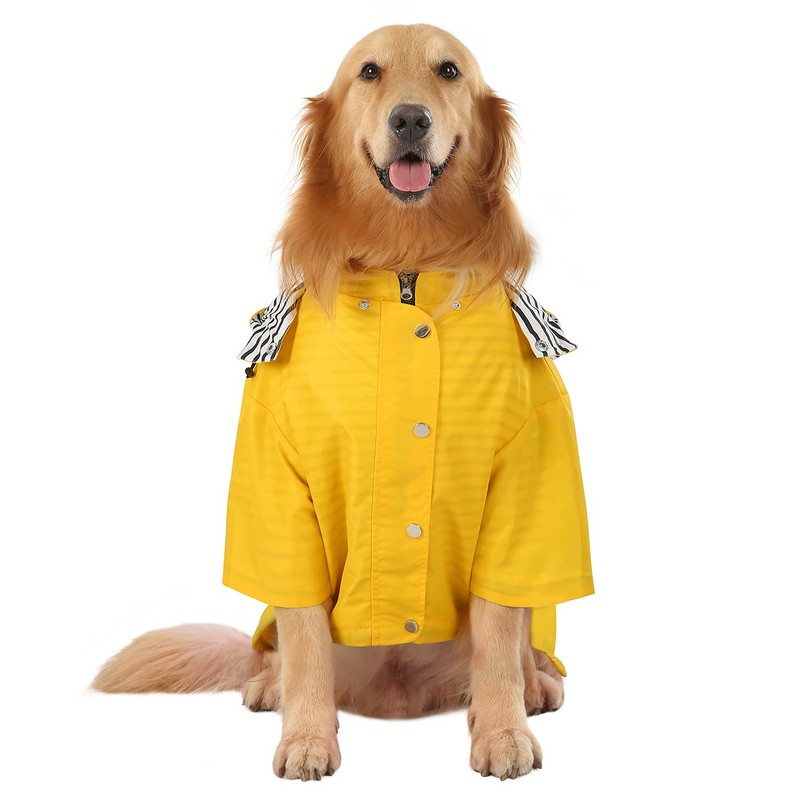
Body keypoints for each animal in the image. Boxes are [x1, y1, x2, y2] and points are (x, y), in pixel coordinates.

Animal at [93, 23, 594, 781]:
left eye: (449, 71)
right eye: (369, 72)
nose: (410, 119)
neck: (405, 268)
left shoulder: (524, 477)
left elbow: (499, 624)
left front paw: (503, 730)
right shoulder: (283, 481)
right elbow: (303, 635)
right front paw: (306, 737)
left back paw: (533, 685)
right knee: (278, 651)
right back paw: (269, 685)